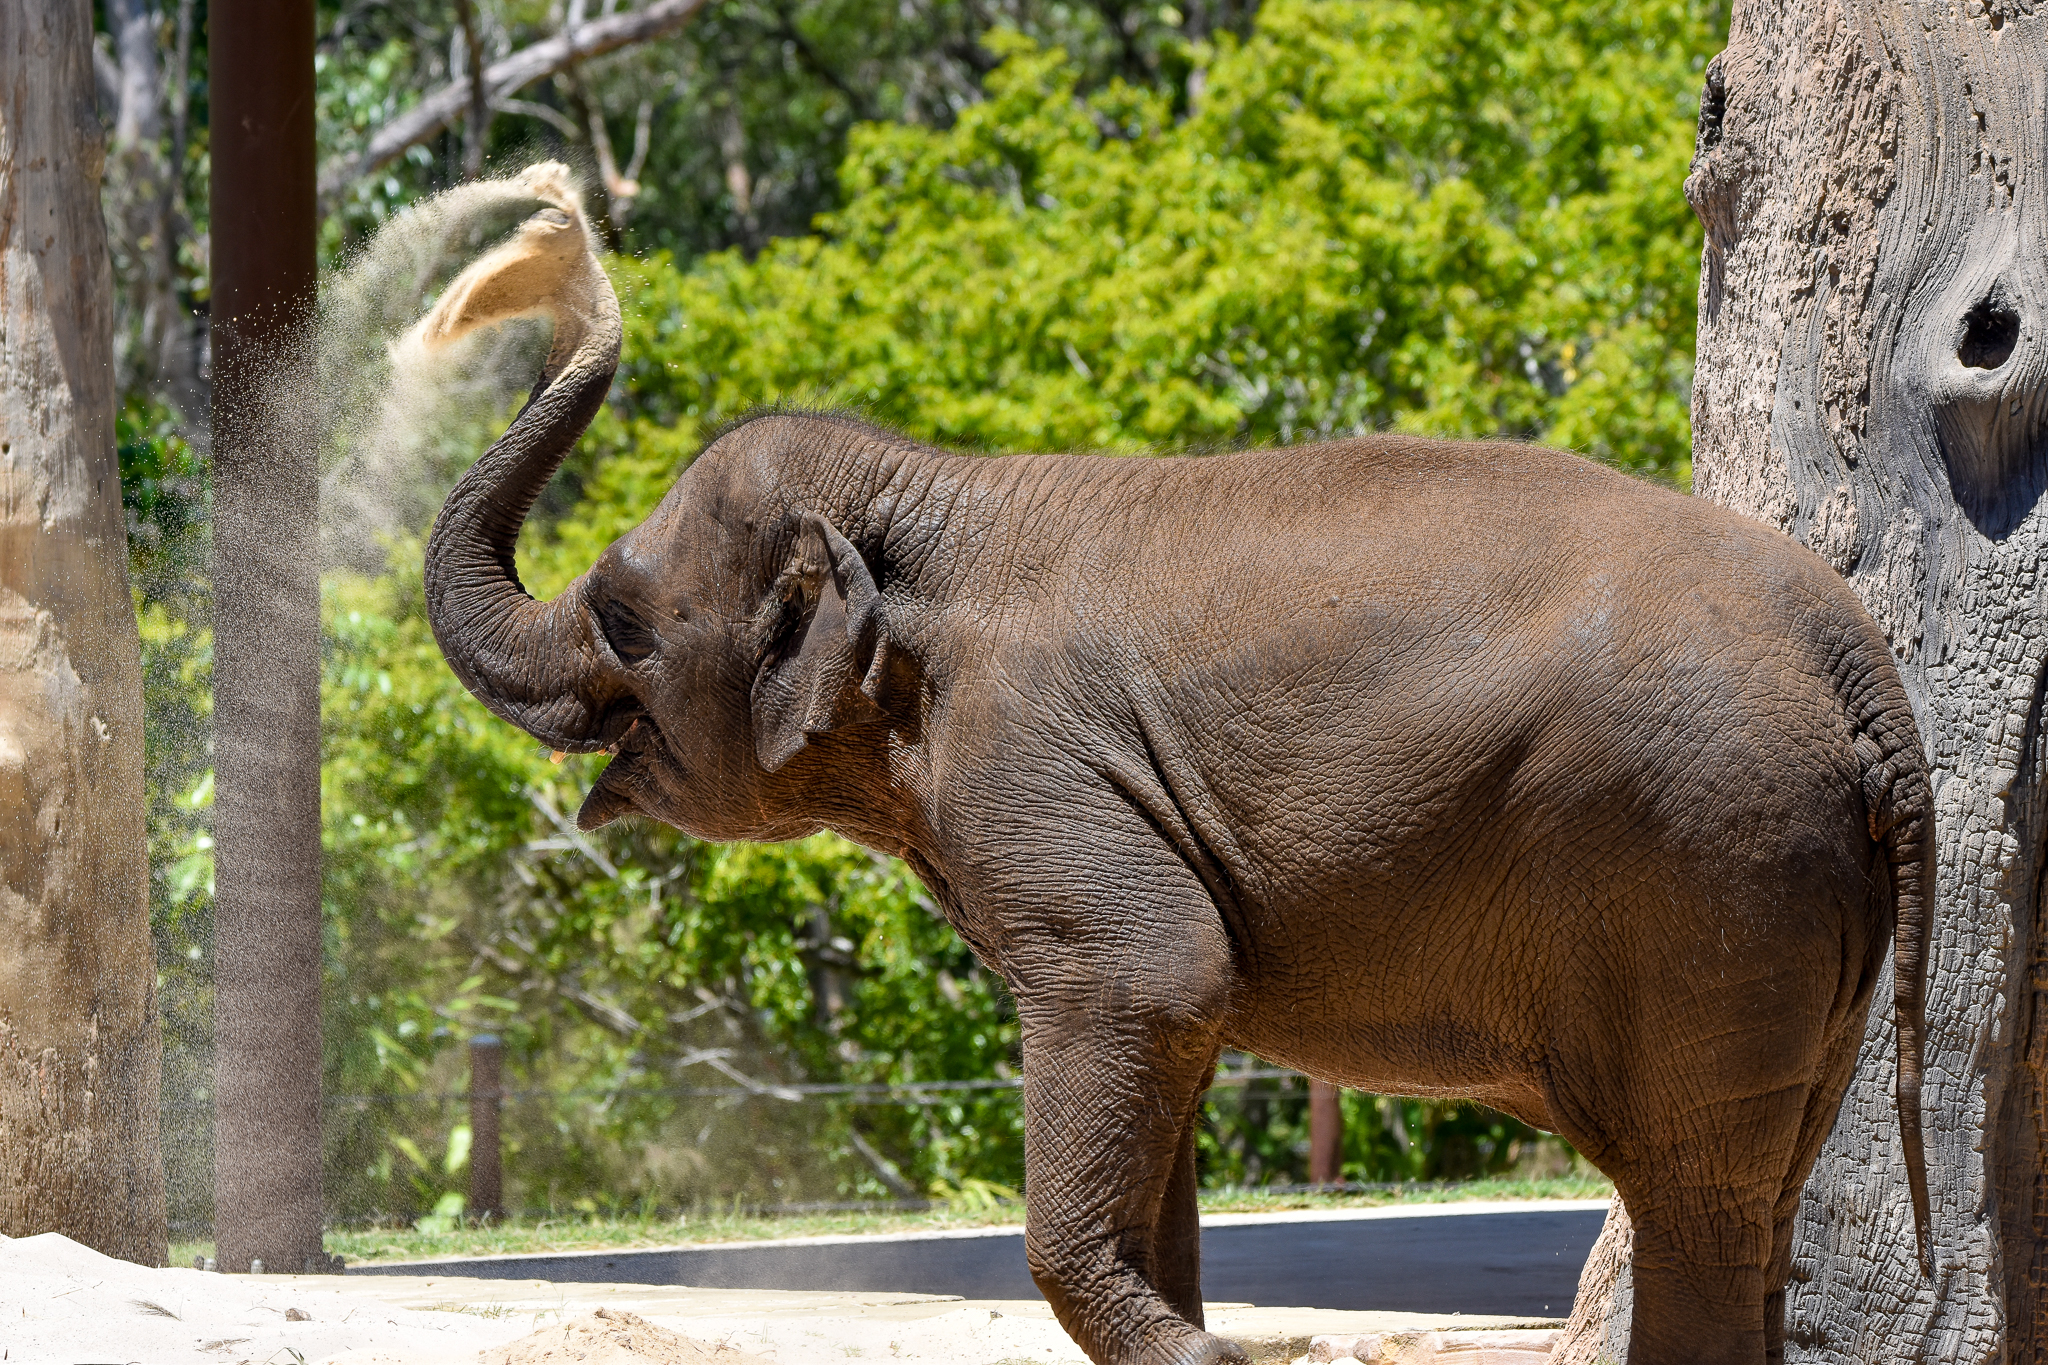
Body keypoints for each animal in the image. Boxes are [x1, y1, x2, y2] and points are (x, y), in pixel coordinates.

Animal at [416, 182, 1930, 1365]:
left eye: (621, 617)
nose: (554, 225)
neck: (930, 493)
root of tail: (1863, 674)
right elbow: (1172, 1050)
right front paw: (1194, 1326)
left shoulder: (1037, 767)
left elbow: (1149, 978)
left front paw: (1214, 1350)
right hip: (1799, 908)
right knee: (1762, 1196)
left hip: (1704, 867)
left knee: (1693, 1196)